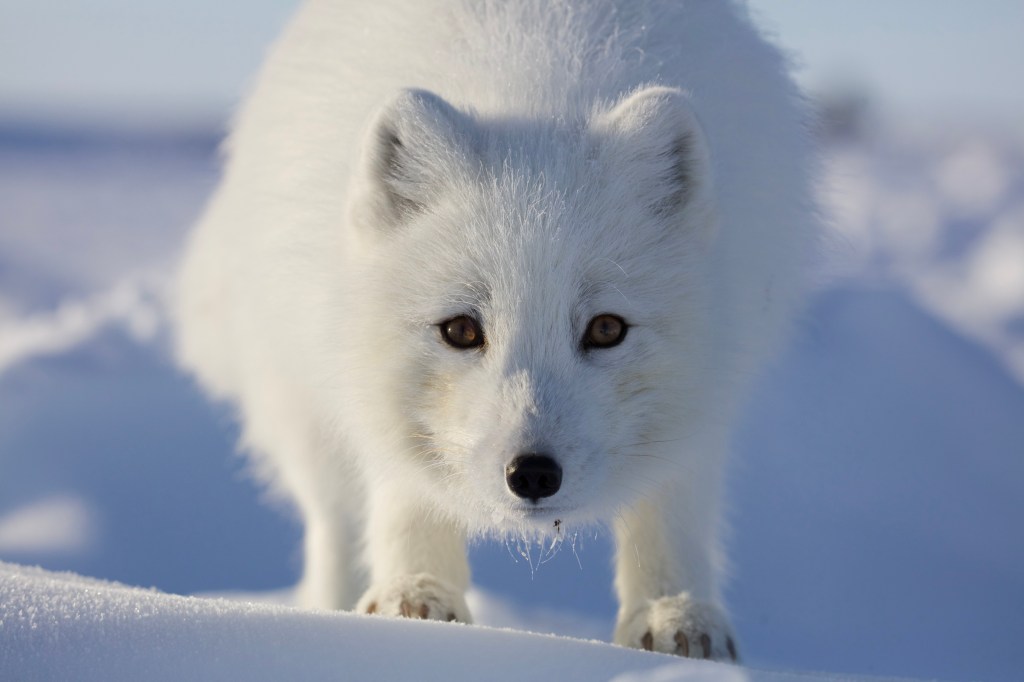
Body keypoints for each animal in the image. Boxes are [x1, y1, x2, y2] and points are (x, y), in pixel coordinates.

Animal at [176, 0, 817, 660]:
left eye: (606, 328)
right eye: (461, 330)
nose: (532, 473)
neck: (536, 79)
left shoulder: (711, 387)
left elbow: (671, 504)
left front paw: (674, 614)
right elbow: (405, 493)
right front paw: (416, 597)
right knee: (334, 522)